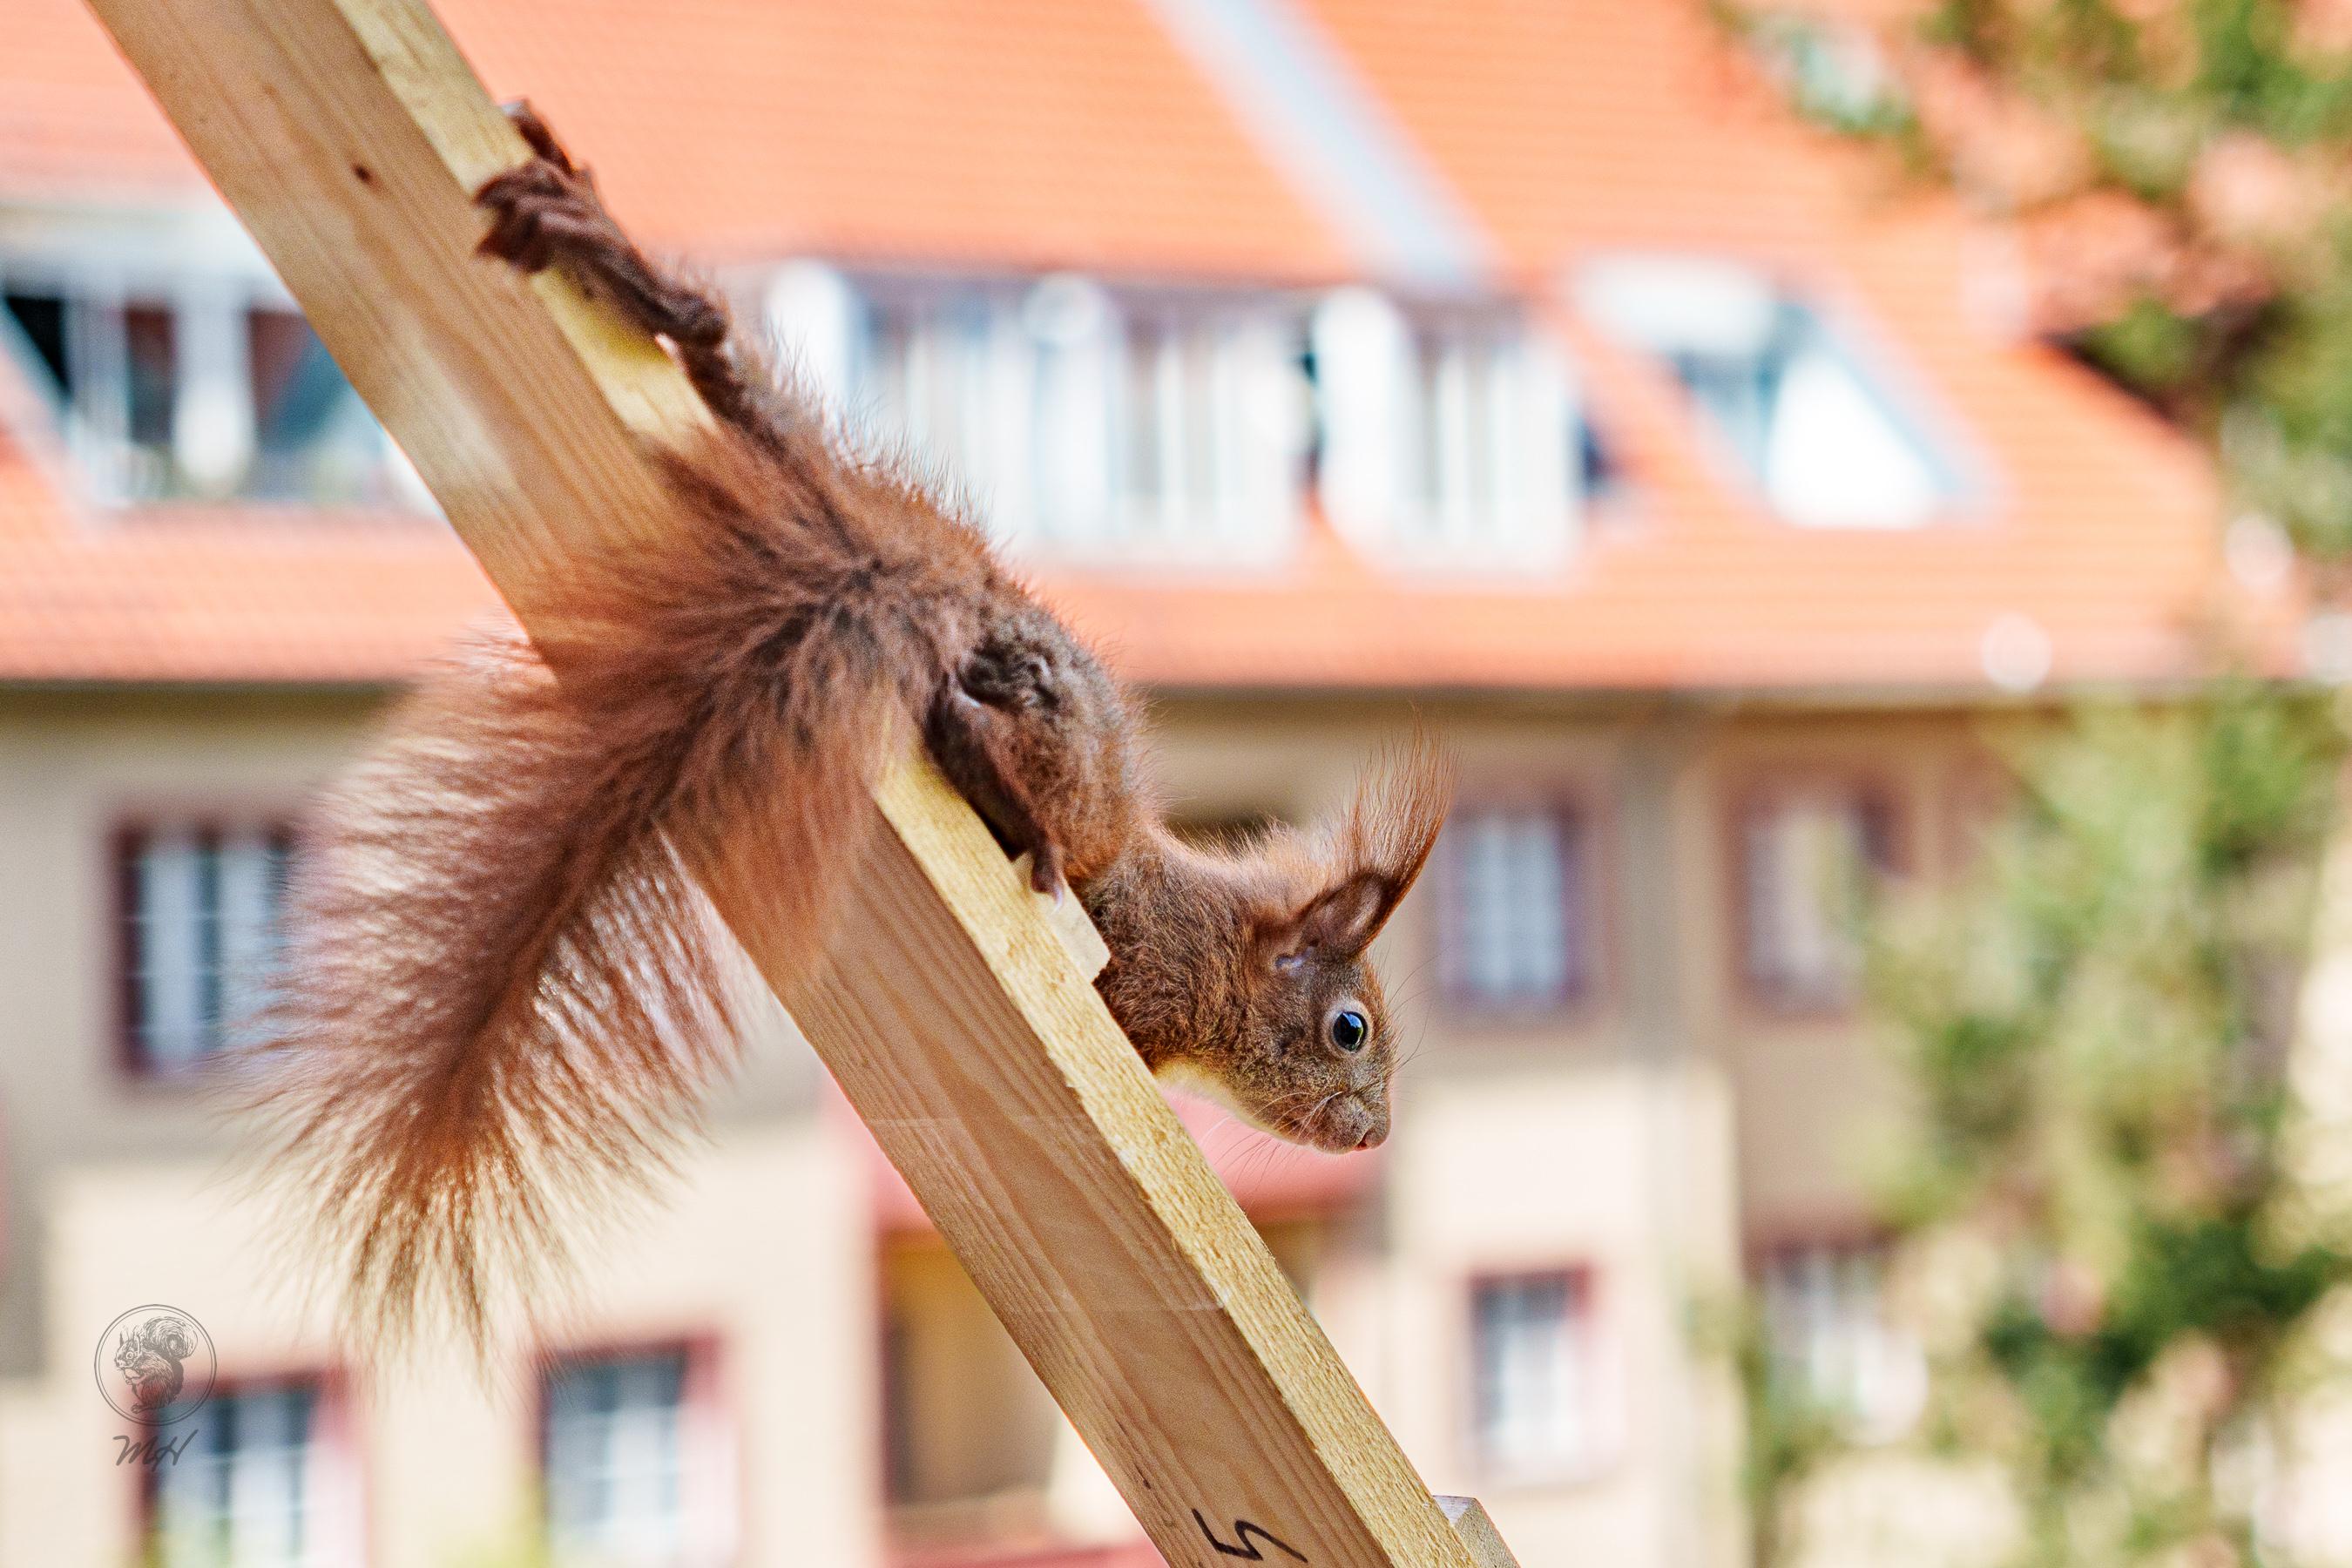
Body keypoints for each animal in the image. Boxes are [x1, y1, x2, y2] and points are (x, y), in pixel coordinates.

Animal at [249, 105, 1451, 1348]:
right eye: (1350, 1030)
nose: (1373, 1134)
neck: (1214, 951)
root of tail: (932, 584)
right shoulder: (1152, 976)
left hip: (792, 463)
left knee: (733, 374)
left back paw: (614, 256)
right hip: (1067, 764)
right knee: (1003, 755)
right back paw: (1004, 789)